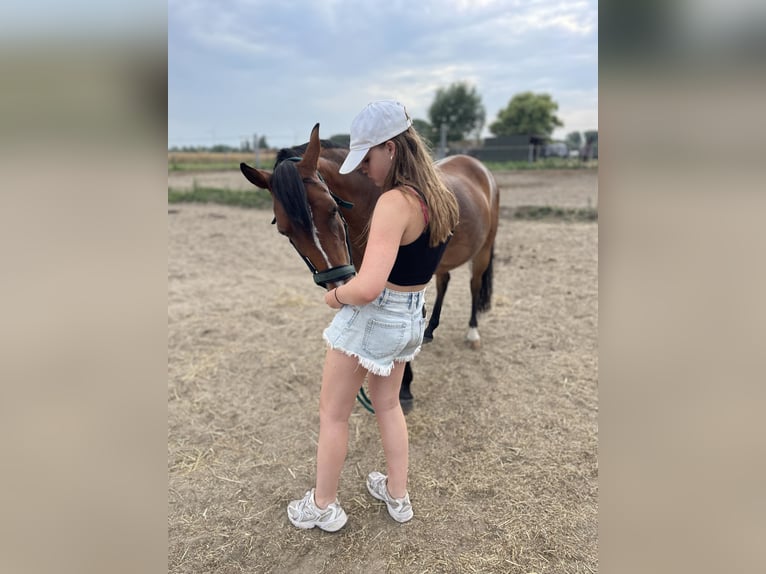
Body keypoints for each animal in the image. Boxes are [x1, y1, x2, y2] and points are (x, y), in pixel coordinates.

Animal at [240, 123, 500, 409]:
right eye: (285, 232)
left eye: (332, 208)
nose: (338, 283)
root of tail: (477, 166)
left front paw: (404, 387)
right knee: (444, 283)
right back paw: (430, 330)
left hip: (484, 249)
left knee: (474, 285)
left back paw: (472, 334)